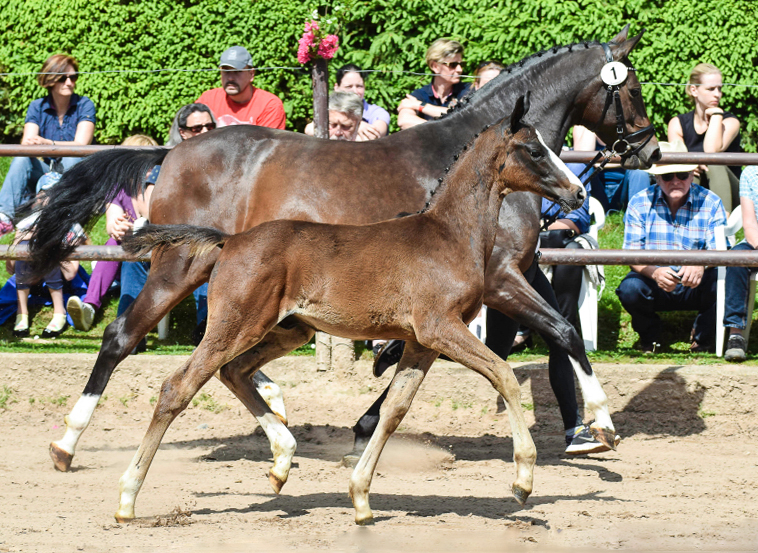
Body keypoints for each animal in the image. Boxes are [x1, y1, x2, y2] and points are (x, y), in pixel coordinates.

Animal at [117, 97, 588, 524]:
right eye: (534, 150)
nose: (578, 191)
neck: (451, 235)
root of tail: (229, 241)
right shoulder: (440, 327)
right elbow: (503, 375)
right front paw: (523, 481)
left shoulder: (421, 343)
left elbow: (394, 410)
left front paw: (361, 498)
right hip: (236, 325)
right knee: (178, 386)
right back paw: (127, 498)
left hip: (290, 331)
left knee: (232, 372)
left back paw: (282, 463)